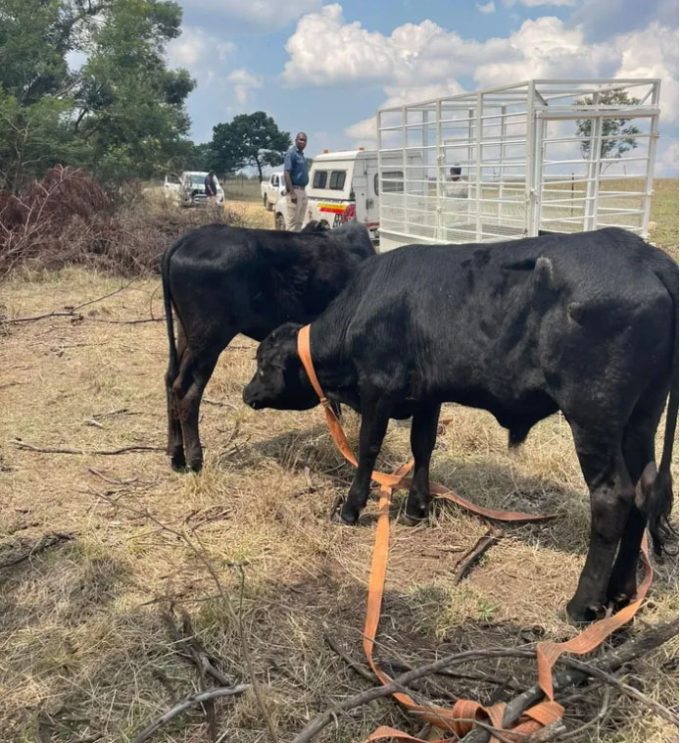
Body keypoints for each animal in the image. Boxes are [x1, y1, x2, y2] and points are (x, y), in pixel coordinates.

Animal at [162, 220, 375, 472]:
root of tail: (188, 239)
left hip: (185, 334)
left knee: (170, 380)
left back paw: (176, 455)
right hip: (208, 340)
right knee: (186, 390)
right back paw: (195, 460)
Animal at [243, 228, 678, 623]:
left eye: (263, 364)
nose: (247, 393)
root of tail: (649, 258)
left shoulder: (378, 389)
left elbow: (369, 448)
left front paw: (350, 508)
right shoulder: (427, 396)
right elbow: (422, 446)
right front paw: (417, 508)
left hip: (593, 417)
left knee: (612, 498)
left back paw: (581, 605)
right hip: (641, 417)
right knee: (643, 490)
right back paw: (621, 591)